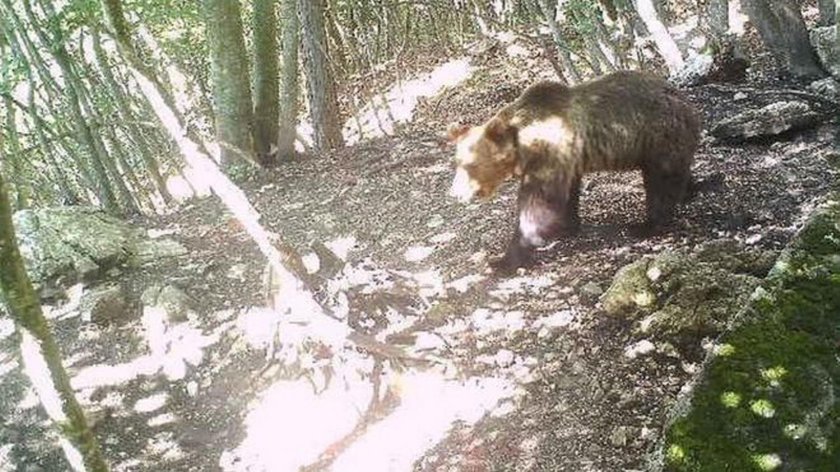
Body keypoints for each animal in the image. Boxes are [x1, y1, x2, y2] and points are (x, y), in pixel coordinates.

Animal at [450, 70, 700, 272]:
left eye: (470, 165)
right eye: (457, 162)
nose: (455, 193)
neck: (522, 145)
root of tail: (683, 98)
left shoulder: (548, 151)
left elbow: (538, 201)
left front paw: (505, 259)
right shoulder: (567, 159)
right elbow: (567, 192)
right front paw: (565, 226)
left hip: (656, 134)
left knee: (662, 180)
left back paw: (646, 225)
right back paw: (691, 190)